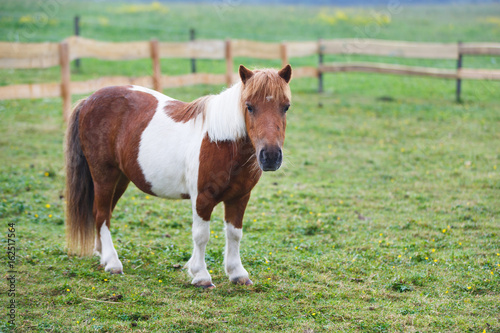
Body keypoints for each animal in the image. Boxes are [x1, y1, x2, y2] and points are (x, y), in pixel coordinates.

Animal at [66, 63, 292, 286]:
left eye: (286, 106)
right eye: (249, 106)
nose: (270, 156)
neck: (221, 143)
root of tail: (89, 100)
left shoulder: (240, 197)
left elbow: (234, 234)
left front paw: (237, 273)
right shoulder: (202, 198)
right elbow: (201, 235)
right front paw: (201, 275)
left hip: (120, 179)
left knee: (103, 213)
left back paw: (103, 256)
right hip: (104, 175)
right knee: (102, 215)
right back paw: (113, 263)